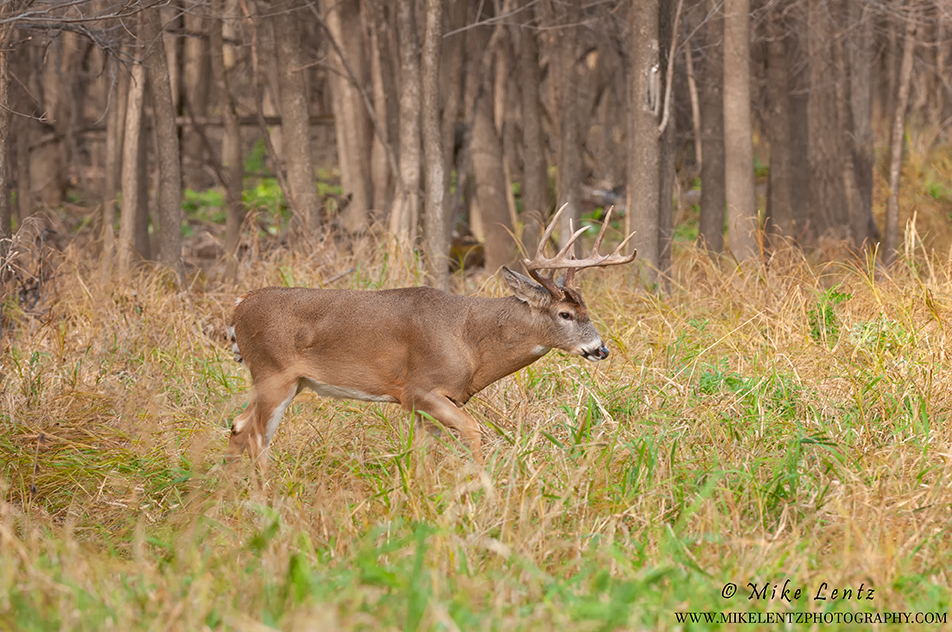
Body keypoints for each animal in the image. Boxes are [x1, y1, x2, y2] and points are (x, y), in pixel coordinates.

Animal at [226, 205, 636, 476]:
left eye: (586, 308)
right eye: (565, 314)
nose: (601, 349)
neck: (470, 342)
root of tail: (239, 304)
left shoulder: (426, 404)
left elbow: (421, 455)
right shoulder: (419, 389)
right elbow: (473, 430)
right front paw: (483, 484)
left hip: (285, 381)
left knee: (237, 426)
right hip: (273, 373)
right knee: (256, 436)